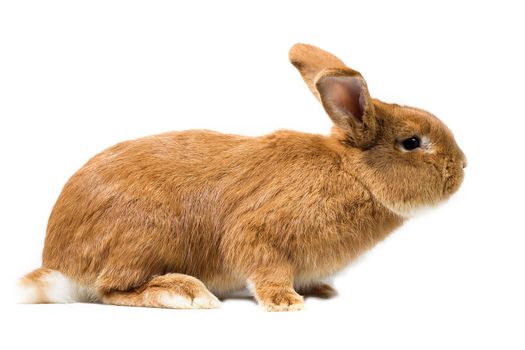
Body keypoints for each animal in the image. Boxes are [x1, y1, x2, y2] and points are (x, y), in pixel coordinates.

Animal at [18, 43, 464, 312]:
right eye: (411, 142)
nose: (461, 168)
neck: (353, 175)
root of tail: (58, 261)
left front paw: (320, 291)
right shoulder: (259, 233)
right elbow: (265, 267)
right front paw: (286, 303)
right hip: (143, 236)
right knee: (112, 289)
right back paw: (183, 292)